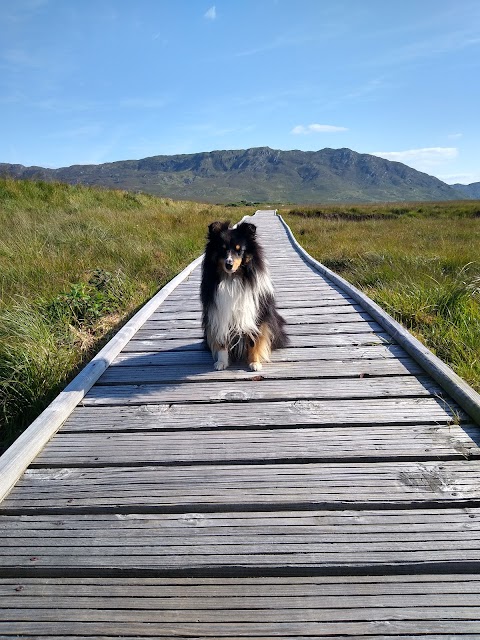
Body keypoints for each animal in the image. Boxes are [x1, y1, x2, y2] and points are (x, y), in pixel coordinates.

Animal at [200, 220, 286, 370]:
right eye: (222, 249)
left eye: (239, 250)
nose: (228, 265)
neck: (232, 279)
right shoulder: (219, 314)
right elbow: (222, 341)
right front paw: (221, 362)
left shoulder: (255, 315)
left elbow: (253, 341)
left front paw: (254, 363)